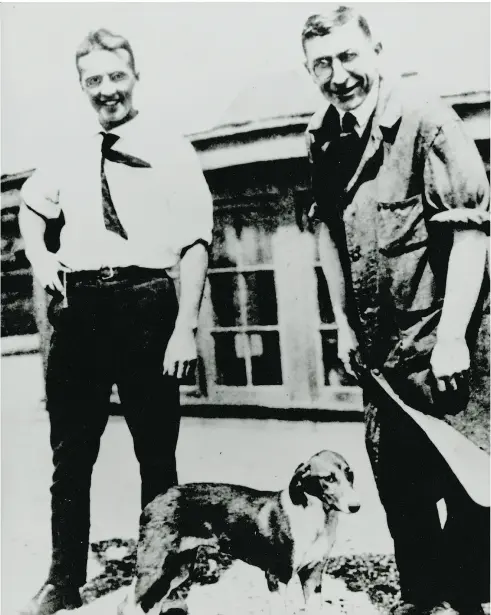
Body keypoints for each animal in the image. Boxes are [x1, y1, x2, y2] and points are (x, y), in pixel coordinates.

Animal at [120, 450, 362, 612]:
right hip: (154, 569)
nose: (356, 506)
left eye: (350, 474)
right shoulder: (277, 576)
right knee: (127, 606)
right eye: (328, 478)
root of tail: (154, 501)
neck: (316, 518)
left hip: (176, 569)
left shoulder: (312, 574)